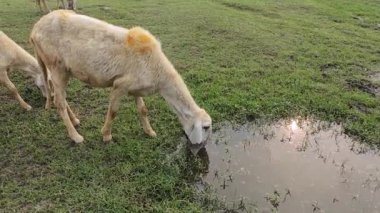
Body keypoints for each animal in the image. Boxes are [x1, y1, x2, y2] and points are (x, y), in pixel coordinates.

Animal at [30, 10, 212, 146]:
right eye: (206, 127)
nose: (200, 145)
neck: (158, 73)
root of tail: (34, 29)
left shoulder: (136, 87)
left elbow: (143, 110)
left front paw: (150, 131)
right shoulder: (120, 85)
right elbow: (113, 112)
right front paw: (106, 135)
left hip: (62, 70)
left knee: (60, 95)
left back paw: (75, 120)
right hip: (56, 66)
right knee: (59, 102)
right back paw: (76, 137)